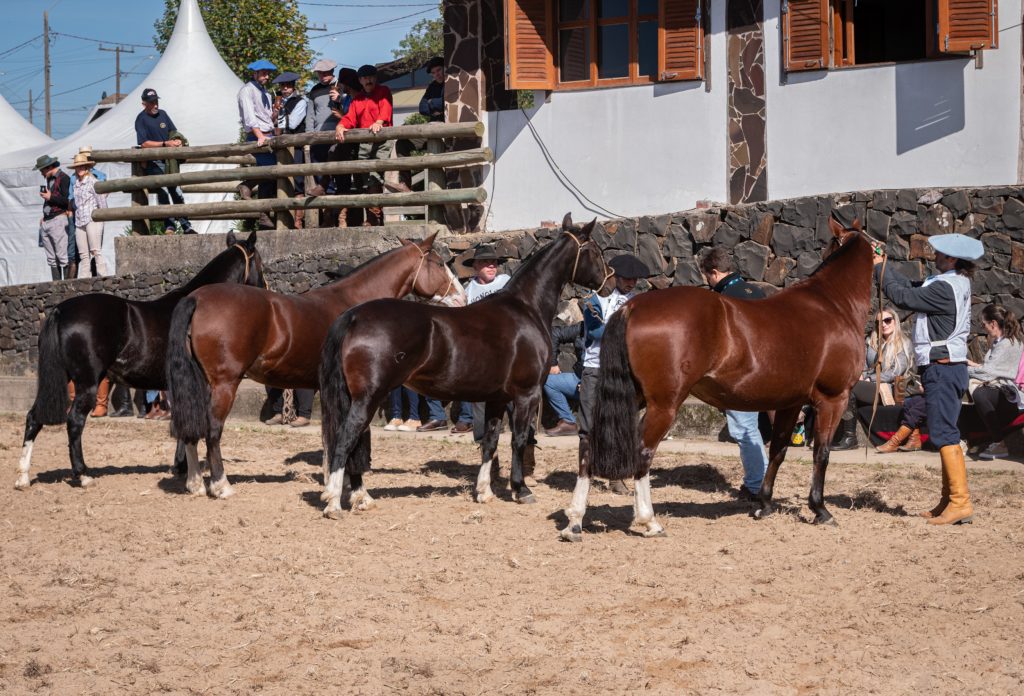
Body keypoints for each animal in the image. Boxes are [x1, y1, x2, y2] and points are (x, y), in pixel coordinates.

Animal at [16, 229, 264, 489]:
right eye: (260, 262)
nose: (265, 288)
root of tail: (60, 310)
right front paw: (185, 468)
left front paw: (180, 467)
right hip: (86, 383)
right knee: (74, 421)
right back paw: (83, 475)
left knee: (34, 417)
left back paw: (23, 477)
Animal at [166, 233, 464, 499]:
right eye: (439, 263)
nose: (461, 298)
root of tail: (196, 299)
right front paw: (349, 486)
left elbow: (328, 438)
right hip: (225, 384)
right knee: (212, 430)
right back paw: (221, 486)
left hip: (200, 384)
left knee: (190, 428)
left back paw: (194, 482)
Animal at [317, 214, 606, 519]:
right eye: (595, 250)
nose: (608, 280)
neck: (526, 308)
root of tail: (353, 316)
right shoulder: (526, 395)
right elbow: (518, 439)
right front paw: (521, 489)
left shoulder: (497, 399)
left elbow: (490, 441)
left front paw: (485, 492)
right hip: (368, 398)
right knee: (345, 440)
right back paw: (334, 502)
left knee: (356, 443)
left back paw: (361, 497)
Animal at [561, 220, 872, 540]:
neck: (831, 304)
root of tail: (630, 307)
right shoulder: (833, 399)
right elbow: (821, 454)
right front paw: (820, 509)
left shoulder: (789, 403)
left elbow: (777, 451)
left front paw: (764, 504)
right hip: (663, 405)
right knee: (643, 453)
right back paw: (649, 521)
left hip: (630, 398)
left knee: (589, 446)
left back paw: (574, 521)